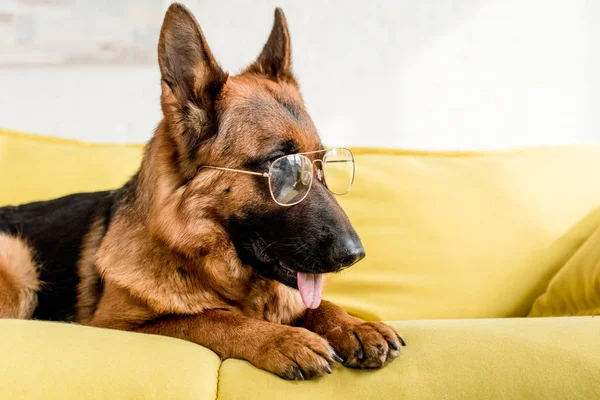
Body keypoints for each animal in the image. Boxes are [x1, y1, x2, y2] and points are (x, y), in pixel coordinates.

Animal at [0, 3, 406, 382]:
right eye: (281, 166)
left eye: (323, 165)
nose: (355, 255)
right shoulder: (120, 326)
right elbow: (213, 318)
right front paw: (282, 338)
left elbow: (319, 305)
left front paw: (354, 324)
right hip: (19, 262)